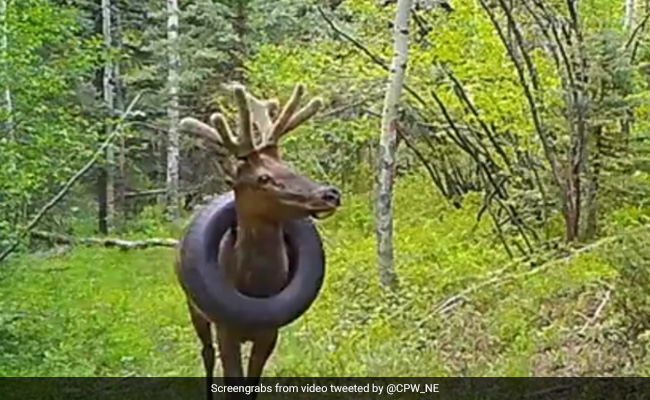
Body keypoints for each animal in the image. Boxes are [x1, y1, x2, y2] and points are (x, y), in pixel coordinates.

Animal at [175, 83, 341, 399]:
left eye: (286, 164)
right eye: (263, 178)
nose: (330, 193)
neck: (255, 286)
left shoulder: (269, 333)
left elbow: (251, 385)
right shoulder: (225, 330)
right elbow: (232, 381)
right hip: (194, 306)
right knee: (206, 353)